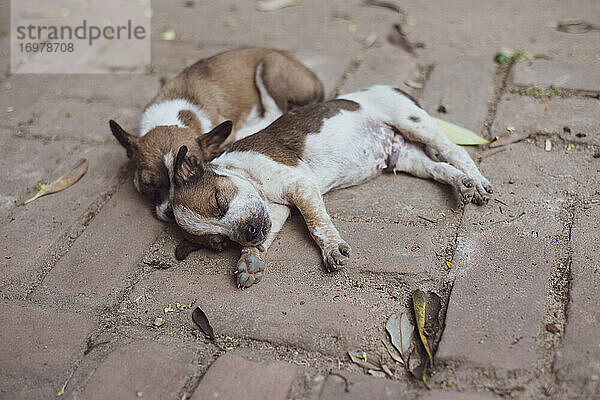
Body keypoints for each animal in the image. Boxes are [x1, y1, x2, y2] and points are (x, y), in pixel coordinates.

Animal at [170, 86, 496, 290]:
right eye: (220, 242)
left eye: (219, 201)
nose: (249, 232)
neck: (246, 174)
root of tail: (393, 88)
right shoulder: (274, 212)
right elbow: (266, 236)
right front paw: (250, 261)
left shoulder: (300, 187)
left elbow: (316, 223)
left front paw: (331, 249)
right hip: (406, 157)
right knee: (438, 167)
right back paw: (462, 182)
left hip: (411, 121)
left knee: (454, 150)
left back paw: (477, 181)